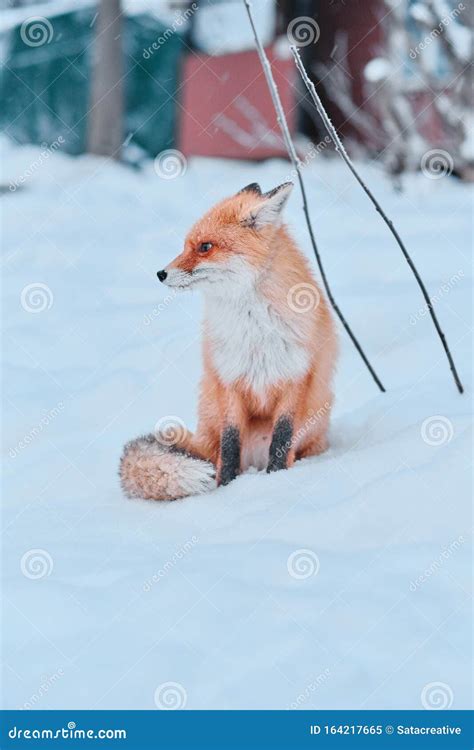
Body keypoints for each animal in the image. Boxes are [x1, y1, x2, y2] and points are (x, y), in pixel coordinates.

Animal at [120, 180, 338, 502]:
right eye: (186, 245)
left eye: (205, 247)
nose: (160, 273)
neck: (255, 329)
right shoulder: (229, 380)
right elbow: (231, 444)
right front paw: (226, 489)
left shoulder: (295, 378)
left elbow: (282, 440)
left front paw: (277, 479)